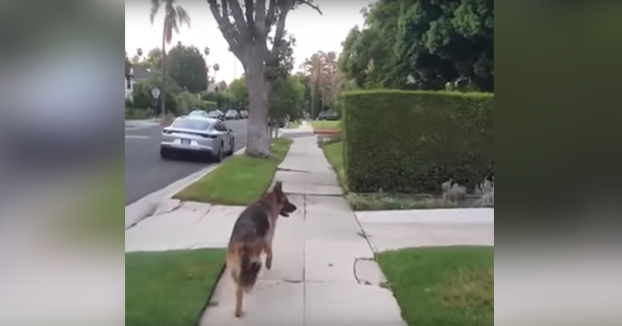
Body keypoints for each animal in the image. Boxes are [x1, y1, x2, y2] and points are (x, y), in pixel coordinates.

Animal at [228, 181, 298, 316]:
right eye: (286, 201)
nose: (296, 207)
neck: (267, 201)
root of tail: (242, 243)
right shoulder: (269, 239)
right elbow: (270, 253)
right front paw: (269, 264)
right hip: (254, 261)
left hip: (234, 267)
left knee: (239, 290)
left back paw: (238, 311)